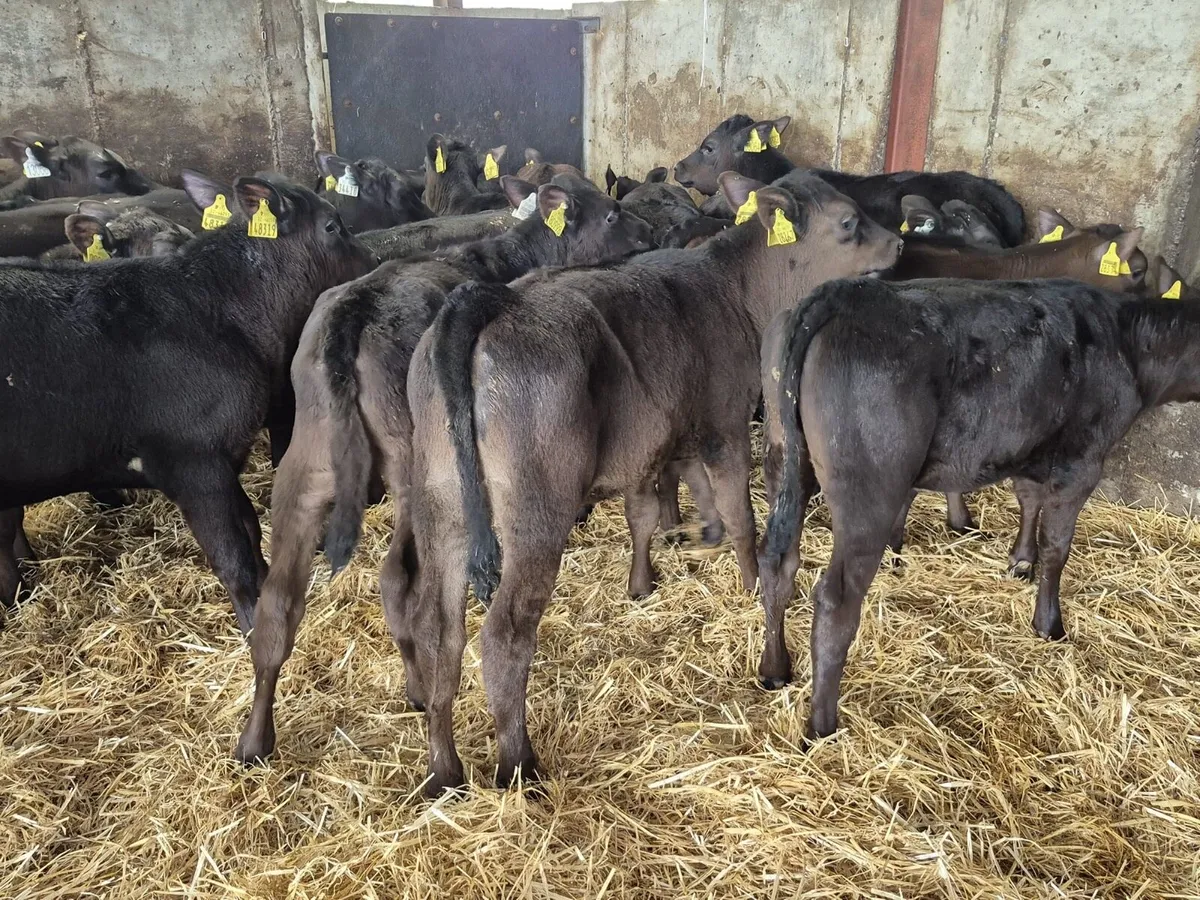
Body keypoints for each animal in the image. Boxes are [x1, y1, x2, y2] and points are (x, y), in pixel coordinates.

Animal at [0, 172, 376, 628]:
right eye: (332, 226)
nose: (374, 260)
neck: (222, 313)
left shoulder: (225, 457)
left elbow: (250, 529)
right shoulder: (192, 462)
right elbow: (232, 558)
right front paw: (255, 626)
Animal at [232, 173, 653, 766]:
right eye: (612, 215)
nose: (649, 232)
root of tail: (353, 311)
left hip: (304, 471)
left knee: (277, 606)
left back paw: (254, 740)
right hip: (416, 474)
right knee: (396, 583)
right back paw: (416, 691)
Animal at [391, 171, 900, 796]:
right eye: (850, 221)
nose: (899, 243)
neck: (735, 288)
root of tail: (488, 299)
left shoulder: (647, 443)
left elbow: (645, 514)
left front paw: (643, 582)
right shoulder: (724, 424)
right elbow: (738, 513)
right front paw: (749, 581)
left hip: (441, 503)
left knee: (438, 629)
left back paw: (444, 772)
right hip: (536, 511)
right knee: (504, 634)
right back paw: (519, 767)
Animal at [757, 277, 1200, 743]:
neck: (1126, 339)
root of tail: (843, 292)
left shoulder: (1029, 447)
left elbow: (1028, 500)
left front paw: (1020, 562)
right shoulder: (1082, 462)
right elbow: (1057, 548)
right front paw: (1049, 624)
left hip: (784, 459)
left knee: (777, 562)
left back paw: (775, 669)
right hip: (867, 489)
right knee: (834, 599)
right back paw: (822, 726)